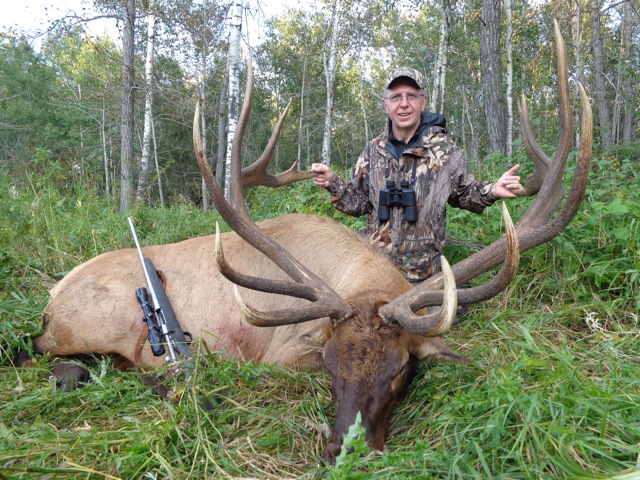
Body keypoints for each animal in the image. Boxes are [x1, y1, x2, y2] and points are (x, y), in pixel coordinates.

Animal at [17, 21, 591, 465]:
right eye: (329, 364)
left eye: (402, 369)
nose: (345, 451)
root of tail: (50, 298)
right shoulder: (279, 352)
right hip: (95, 322)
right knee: (43, 353)